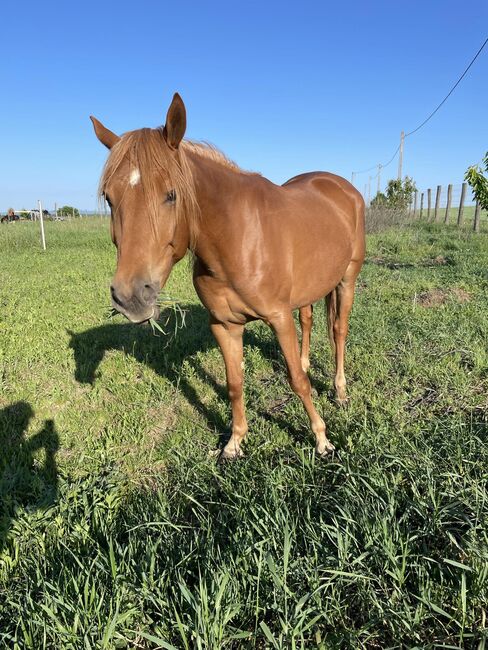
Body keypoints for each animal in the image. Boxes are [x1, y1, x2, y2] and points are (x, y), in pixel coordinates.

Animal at [91, 92, 364, 456]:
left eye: (171, 194)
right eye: (109, 197)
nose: (131, 296)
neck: (237, 240)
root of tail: (340, 186)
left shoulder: (278, 318)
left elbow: (298, 381)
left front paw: (321, 438)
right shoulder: (225, 324)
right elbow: (235, 383)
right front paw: (235, 441)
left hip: (347, 280)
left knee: (339, 332)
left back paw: (340, 391)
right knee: (307, 320)